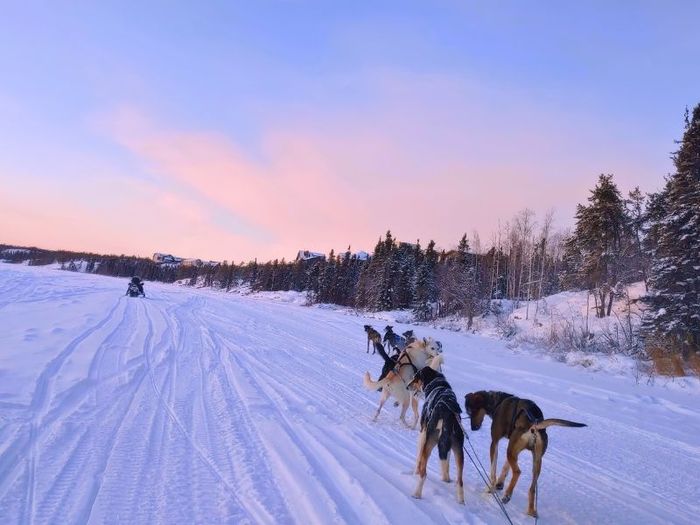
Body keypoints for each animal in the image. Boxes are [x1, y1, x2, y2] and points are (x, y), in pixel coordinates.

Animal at [464, 388, 584, 516]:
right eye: (468, 413)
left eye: (471, 411)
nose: (473, 428)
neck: (498, 402)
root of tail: (534, 424)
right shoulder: (513, 449)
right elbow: (505, 467)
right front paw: (499, 484)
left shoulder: (494, 442)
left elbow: (493, 470)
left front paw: (490, 488)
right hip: (535, 460)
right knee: (532, 488)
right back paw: (531, 511)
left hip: (513, 452)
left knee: (517, 472)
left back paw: (507, 495)